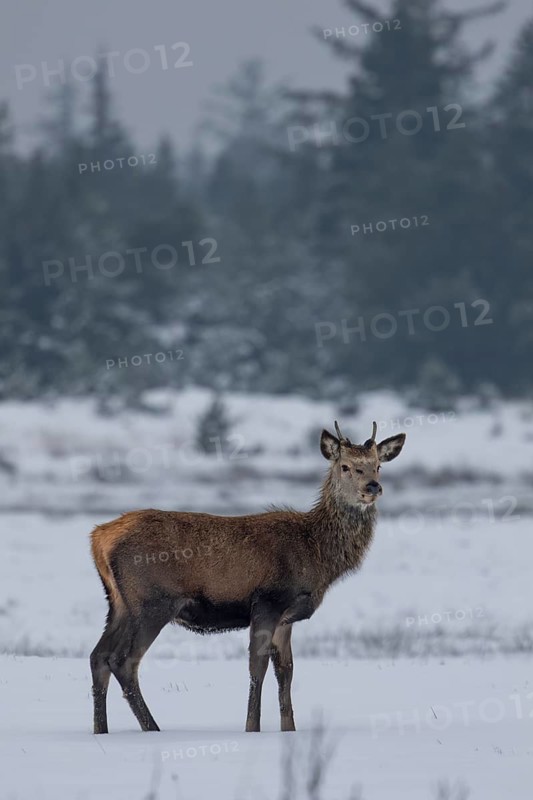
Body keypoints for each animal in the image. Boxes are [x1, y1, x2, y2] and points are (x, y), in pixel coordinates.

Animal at [89, 421, 405, 734]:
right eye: (346, 466)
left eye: (378, 465)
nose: (373, 487)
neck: (317, 555)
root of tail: (99, 537)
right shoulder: (268, 601)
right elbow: (258, 667)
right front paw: (252, 728)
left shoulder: (287, 617)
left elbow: (286, 671)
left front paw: (289, 729)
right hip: (153, 602)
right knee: (123, 661)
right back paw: (152, 728)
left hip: (118, 604)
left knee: (98, 656)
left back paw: (100, 729)